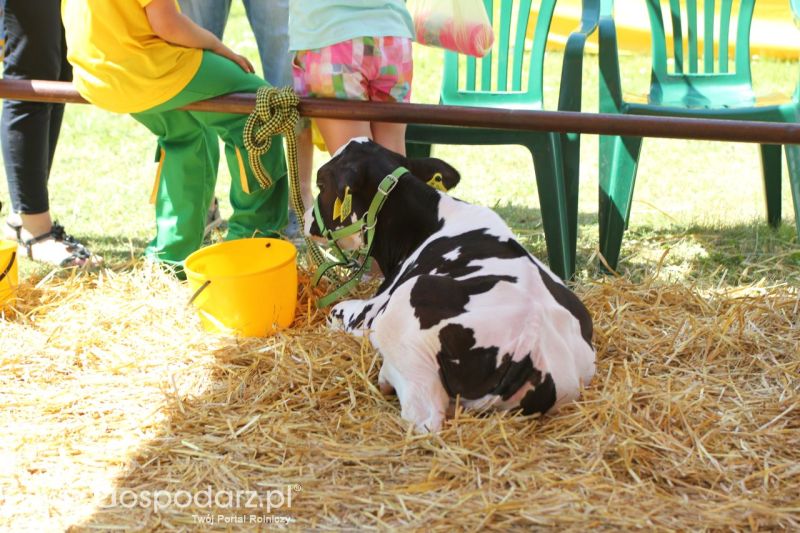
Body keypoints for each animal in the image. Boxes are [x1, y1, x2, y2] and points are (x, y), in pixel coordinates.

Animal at [306, 138, 592, 432]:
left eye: (321, 183)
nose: (306, 219)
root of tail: (530, 341)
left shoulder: (369, 311)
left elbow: (334, 312)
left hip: (409, 320)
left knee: (423, 419)